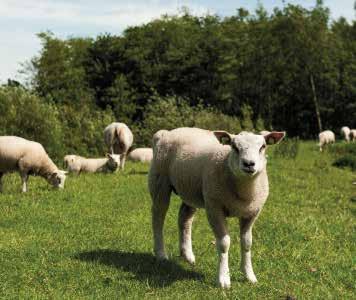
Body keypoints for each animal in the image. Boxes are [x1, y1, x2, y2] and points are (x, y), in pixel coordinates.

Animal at [149, 126, 286, 288]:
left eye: (263, 146)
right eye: (234, 147)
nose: (249, 164)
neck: (245, 192)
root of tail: (166, 132)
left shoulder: (251, 213)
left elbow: (247, 243)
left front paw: (249, 275)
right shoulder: (214, 208)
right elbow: (224, 243)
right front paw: (224, 279)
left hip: (191, 190)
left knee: (184, 218)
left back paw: (187, 255)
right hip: (159, 181)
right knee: (158, 217)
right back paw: (161, 254)